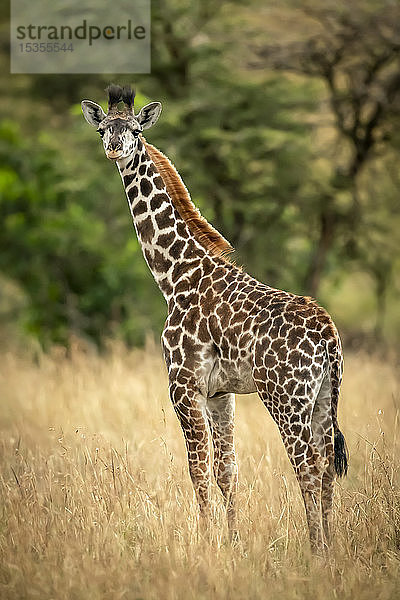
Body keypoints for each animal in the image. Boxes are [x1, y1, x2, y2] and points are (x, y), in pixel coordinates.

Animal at [81, 84, 346, 552]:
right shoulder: (221, 393)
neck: (173, 274)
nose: (114, 148)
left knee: (309, 467)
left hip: (285, 398)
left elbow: (198, 469)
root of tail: (328, 334)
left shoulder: (183, 386)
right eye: (103, 127)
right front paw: (233, 542)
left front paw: (205, 543)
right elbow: (227, 470)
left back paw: (316, 550)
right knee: (327, 465)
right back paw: (329, 549)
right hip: (323, 398)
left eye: (134, 129)